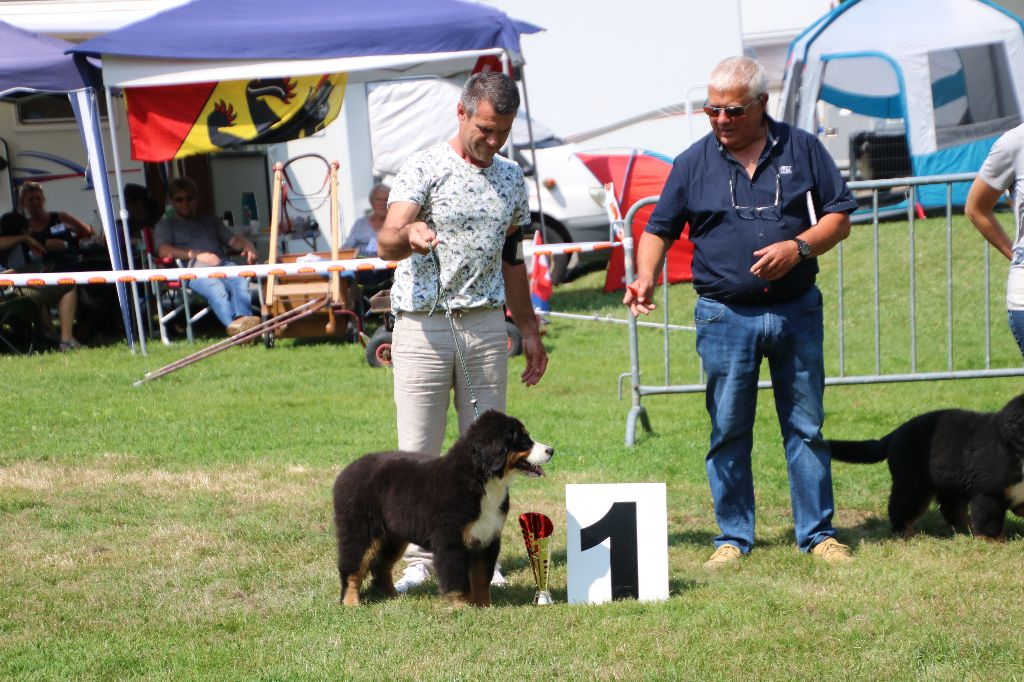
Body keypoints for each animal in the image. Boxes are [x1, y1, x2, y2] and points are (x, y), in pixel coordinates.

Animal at [331, 409, 552, 606]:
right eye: (523, 439)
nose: (551, 450)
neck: (479, 478)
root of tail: (346, 471)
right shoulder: (451, 540)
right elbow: (457, 580)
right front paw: (462, 607)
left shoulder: (487, 537)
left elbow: (482, 578)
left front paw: (484, 606)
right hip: (361, 531)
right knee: (352, 568)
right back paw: (351, 603)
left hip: (392, 536)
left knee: (381, 566)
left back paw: (393, 597)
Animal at [823, 393, 1024, 536]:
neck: (1012, 446)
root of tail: (896, 432)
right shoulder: (989, 493)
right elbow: (990, 522)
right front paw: (994, 541)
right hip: (914, 485)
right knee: (900, 509)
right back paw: (905, 533)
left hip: (950, 482)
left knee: (951, 510)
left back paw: (965, 528)